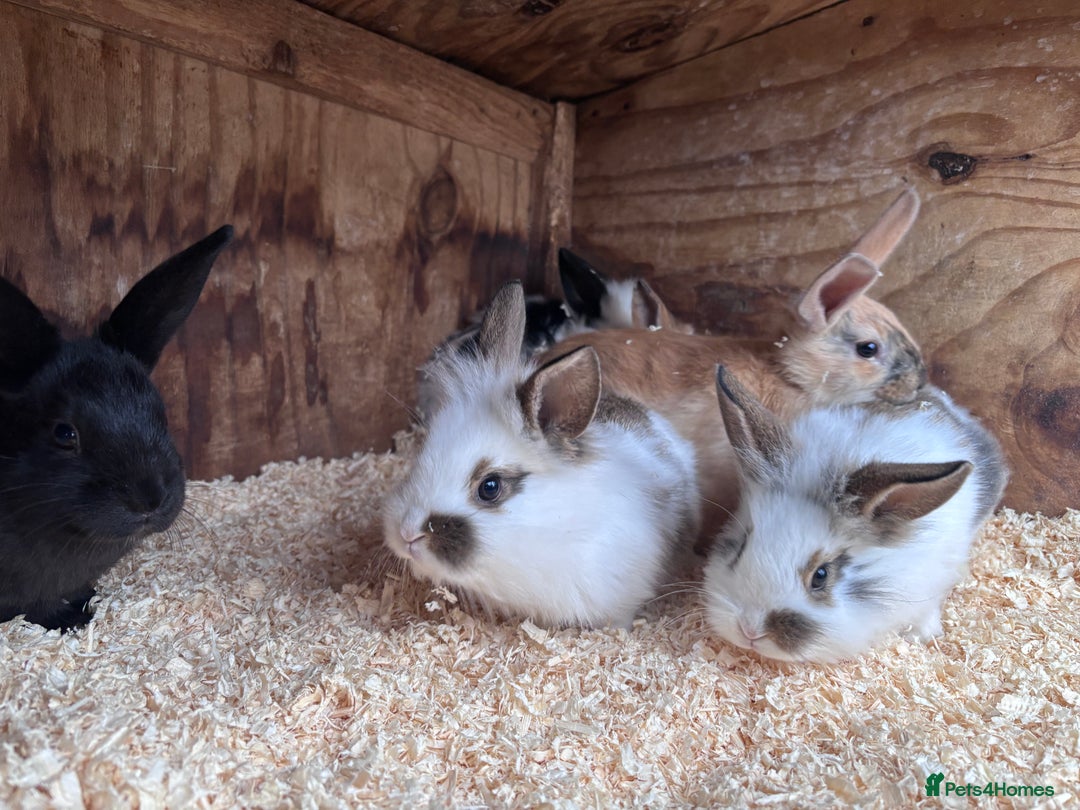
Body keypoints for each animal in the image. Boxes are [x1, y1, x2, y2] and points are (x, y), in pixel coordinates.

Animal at [0, 226, 234, 631]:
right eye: (64, 433)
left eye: (160, 411)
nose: (149, 500)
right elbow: (36, 606)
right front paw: (72, 619)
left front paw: (87, 598)